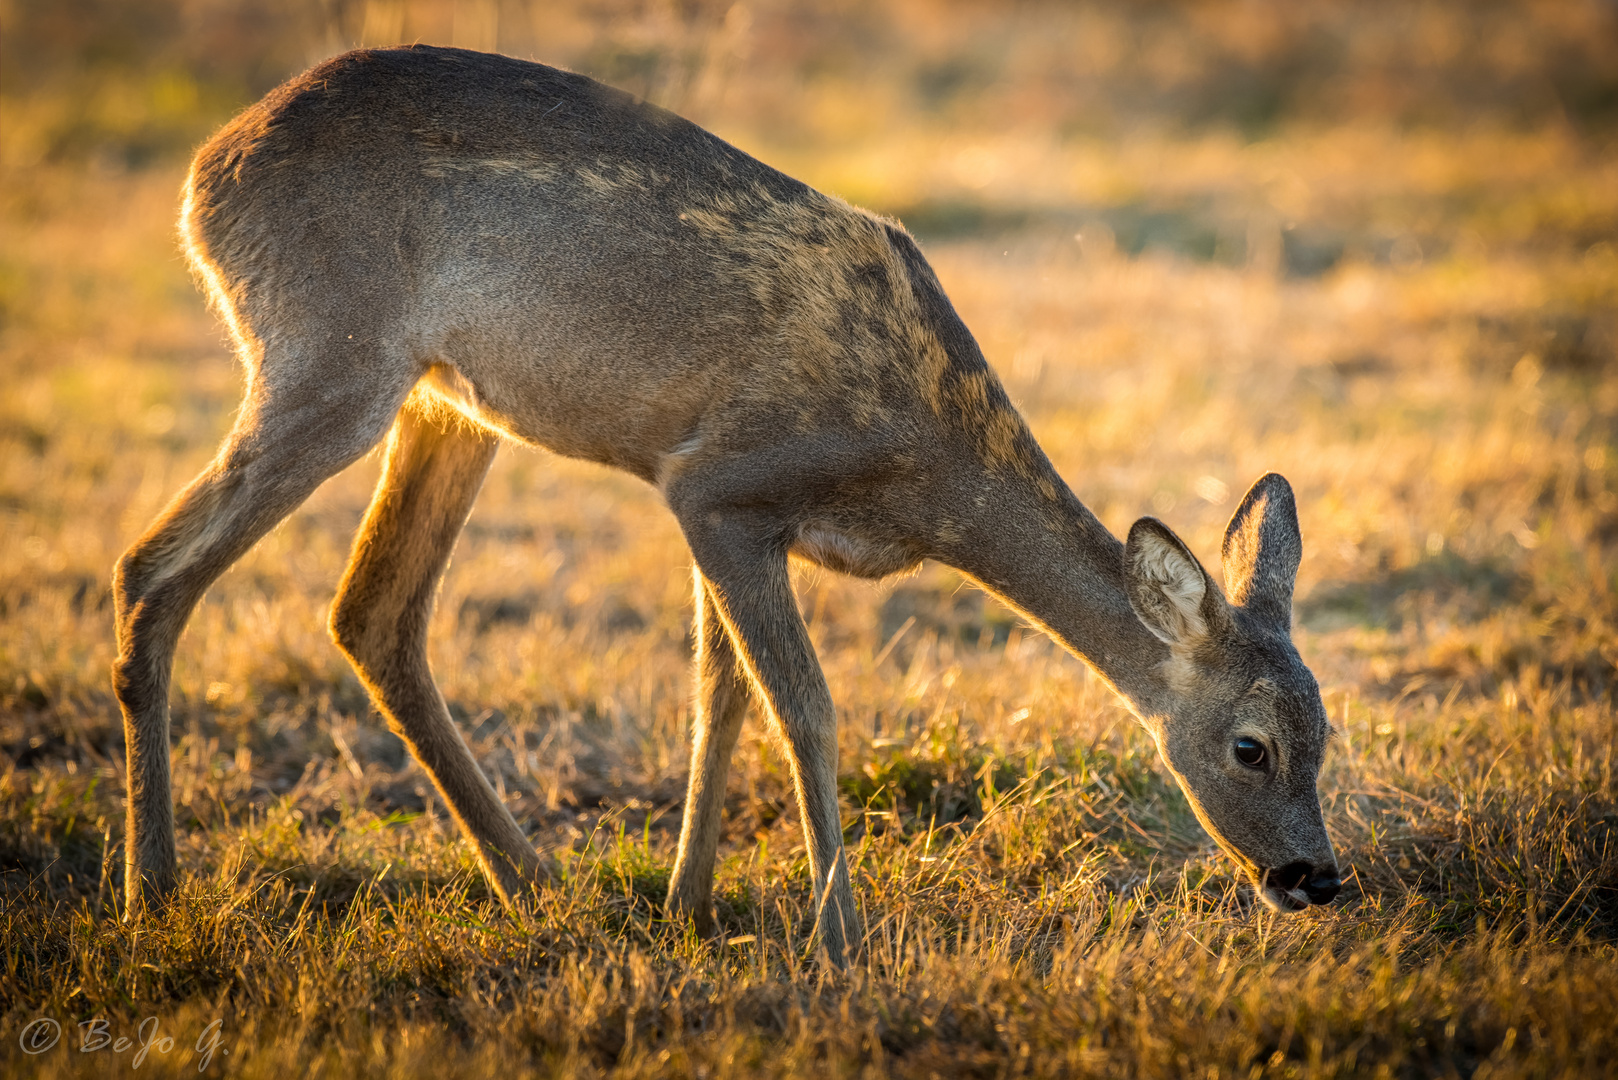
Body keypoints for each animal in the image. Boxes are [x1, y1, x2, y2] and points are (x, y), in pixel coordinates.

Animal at [114, 44, 1339, 965]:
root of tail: (204, 176)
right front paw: (839, 937)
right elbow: (803, 707)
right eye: (1250, 747)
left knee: (372, 610)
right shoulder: (716, 486)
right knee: (152, 568)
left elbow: (722, 699)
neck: (932, 472)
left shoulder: (744, 519)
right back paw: (152, 895)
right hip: (327, 352)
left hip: (442, 402)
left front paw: (687, 905)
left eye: (1329, 733)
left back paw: (532, 882)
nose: (1315, 878)